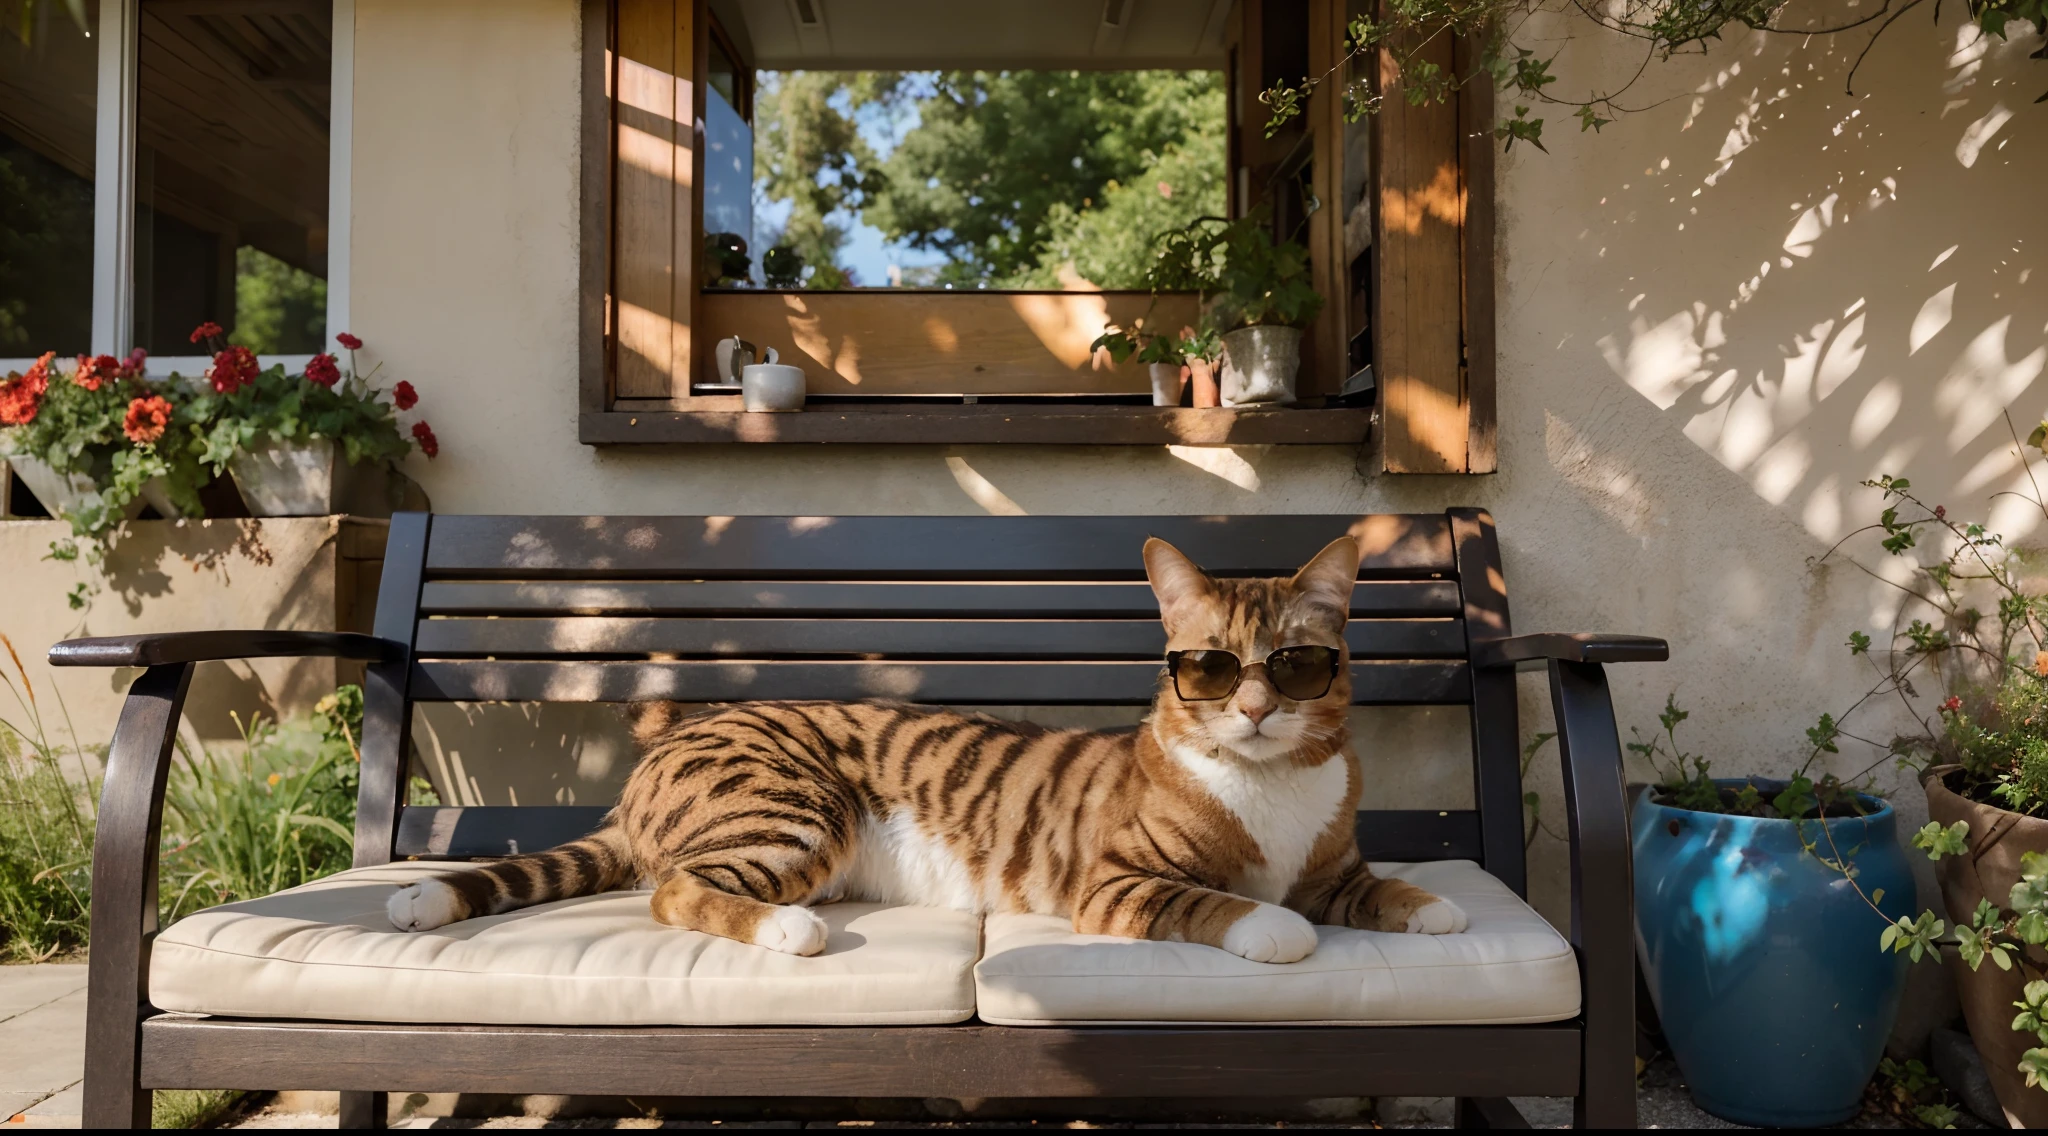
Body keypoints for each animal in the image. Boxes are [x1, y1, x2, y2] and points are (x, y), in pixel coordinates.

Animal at [385, 536, 1466, 966]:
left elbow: (1377, 885)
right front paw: (1274, 926)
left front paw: (1437, 905)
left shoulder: (1334, 869)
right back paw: (786, 929)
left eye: (1294, 664)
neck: (1268, 783)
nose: (1250, 706)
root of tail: (664, 748)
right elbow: (1221, 903)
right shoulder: (1117, 884)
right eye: (1208, 664)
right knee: (676, 889)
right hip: (794, 804)